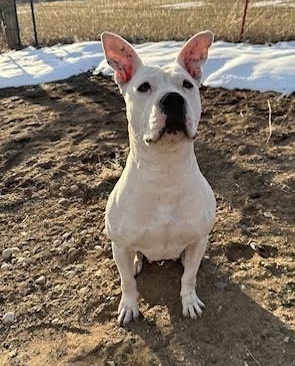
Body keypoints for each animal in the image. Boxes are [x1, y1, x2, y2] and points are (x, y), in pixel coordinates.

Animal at [102, 31, 217, 326]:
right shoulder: (119, 245)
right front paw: (129, 306)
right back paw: (136, 262)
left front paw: (189, 301)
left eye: (187, 85)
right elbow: (127, 283)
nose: (173, 99)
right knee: (134, 261)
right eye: (143, 87)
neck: (165, 173)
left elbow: (189, 277)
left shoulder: (199, 239)